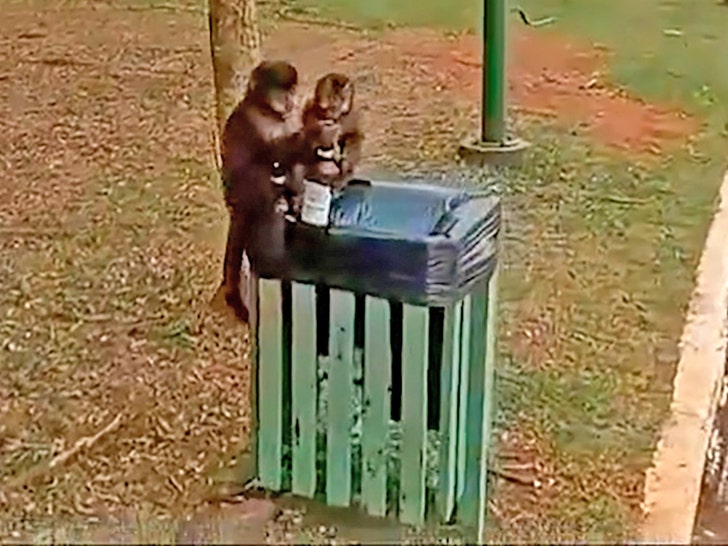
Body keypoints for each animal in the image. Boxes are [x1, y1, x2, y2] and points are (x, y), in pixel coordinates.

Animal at [212, 60, 304, 324]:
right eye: (280, 92)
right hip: (240, 195)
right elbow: (259, 158)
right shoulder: (248, 120)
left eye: (291, 91)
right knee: (256, 171)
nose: (290, 101)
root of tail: (235, 207)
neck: (268, 112)